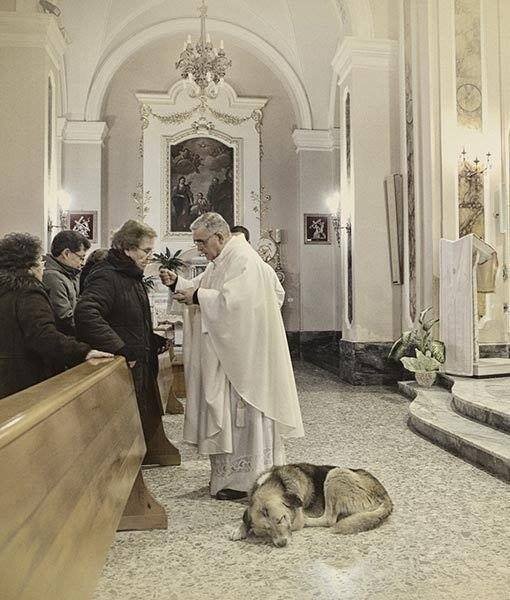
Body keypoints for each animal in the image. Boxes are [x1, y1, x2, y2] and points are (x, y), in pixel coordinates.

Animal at [229, 464, 392, 548]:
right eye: (266, 529)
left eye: (281, 519)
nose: (282, 544)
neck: (276, 481)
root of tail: (385, 495)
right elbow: (245, 517)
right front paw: (240, 529)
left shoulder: (295, 519)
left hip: (335, 474)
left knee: (329, 519)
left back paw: (310, 521)